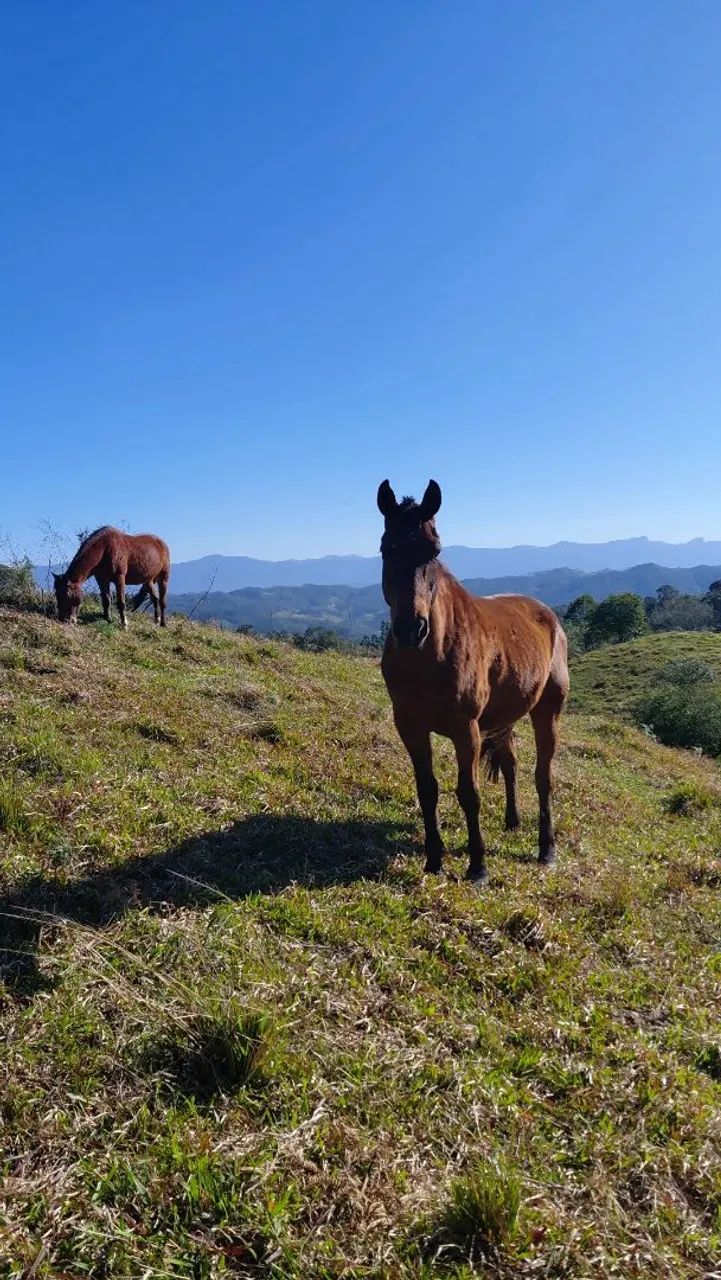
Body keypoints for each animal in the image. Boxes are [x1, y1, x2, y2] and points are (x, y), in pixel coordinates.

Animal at [377, 479, 569, 884]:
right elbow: (427, 789)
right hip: (505, 716)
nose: (411, 630)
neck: (429, 658)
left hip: (547, 712)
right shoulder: (410, 727)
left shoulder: (466, 730)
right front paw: (434, 860)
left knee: (543, 776)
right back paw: (513, 821)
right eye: (387, 548)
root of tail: (547, 615)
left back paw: (546, 849)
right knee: (511, 763)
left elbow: (469, 794)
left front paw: (478, 866)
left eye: (434, 550)